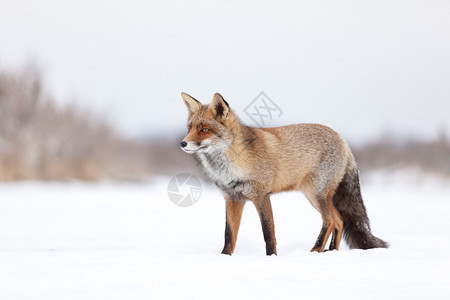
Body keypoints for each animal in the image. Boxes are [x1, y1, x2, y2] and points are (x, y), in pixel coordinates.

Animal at [179, 92, 386, 255]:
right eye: (190, 128)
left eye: (204, 130)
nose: (183, 143)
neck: (230, 165)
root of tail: (342, 139)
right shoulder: (232, 198)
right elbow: (229, 235)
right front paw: (224, 258)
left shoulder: (261, 195)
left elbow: (268, 233)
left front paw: (271, 258)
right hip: (315, 196)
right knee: (340, 220)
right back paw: (330, 251)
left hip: (317, 194)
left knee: (329, 220)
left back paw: (316, 250)